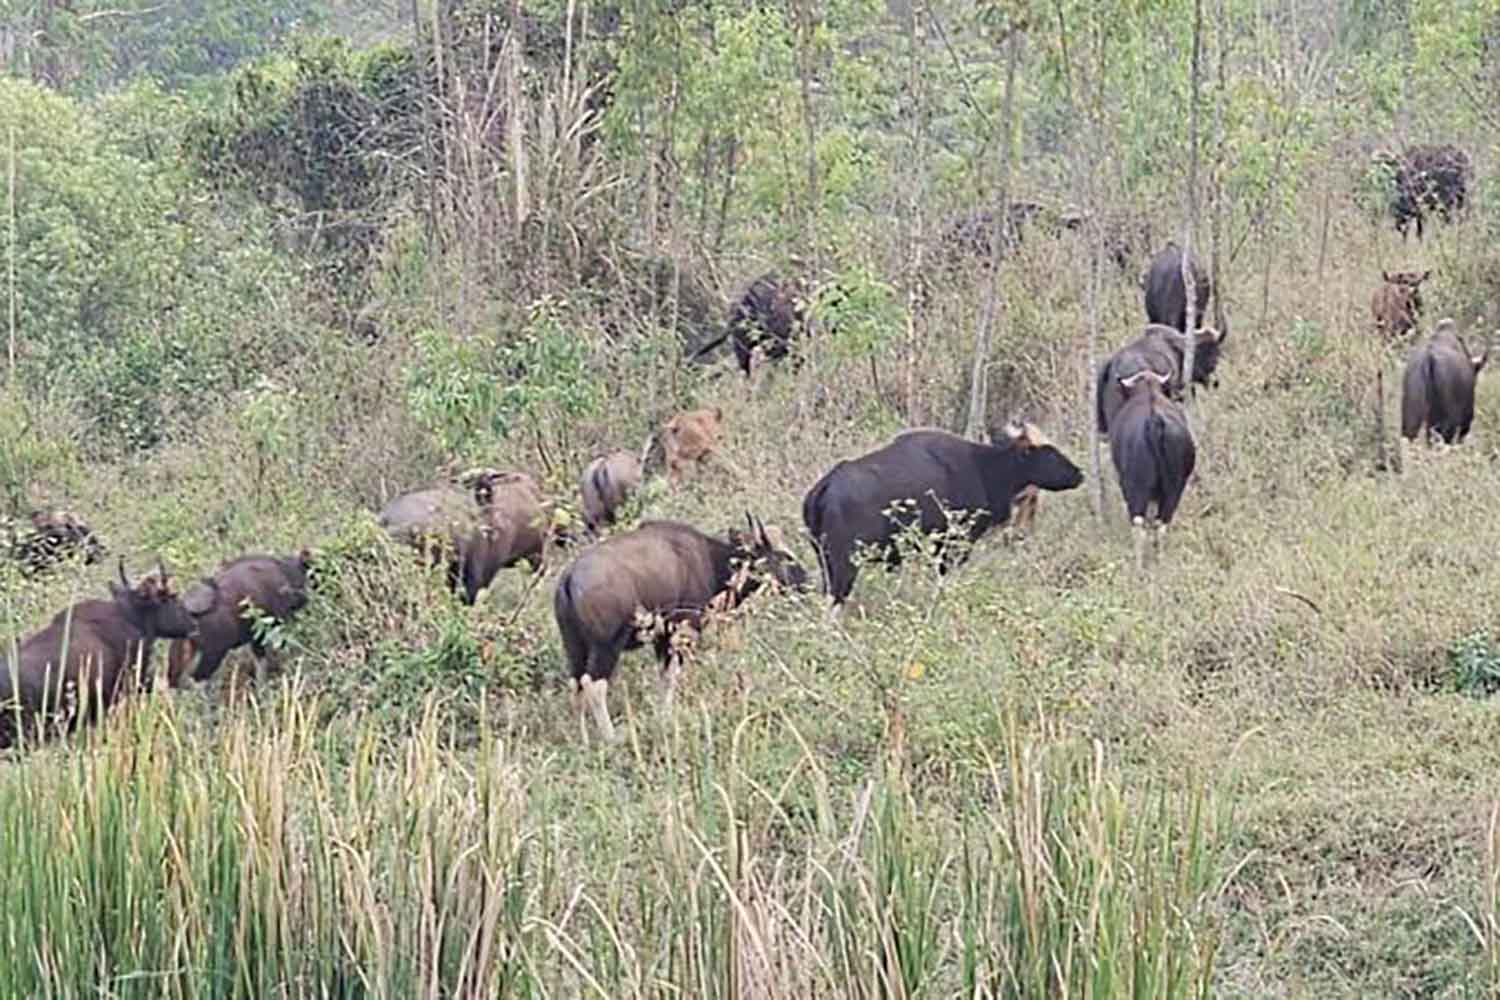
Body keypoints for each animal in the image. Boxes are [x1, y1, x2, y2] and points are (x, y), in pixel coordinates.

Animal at [555, 515, 810, 743]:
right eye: (786, 556)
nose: (806, 582)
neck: (710, 559)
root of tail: (569, 578)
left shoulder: (661, 639)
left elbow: (663, 677)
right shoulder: (680, 631)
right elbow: (671, 676)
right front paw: (666, 717)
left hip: (574, 647)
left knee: (576, 684)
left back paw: (583, 739)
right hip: (606, 647)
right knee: (594, 685)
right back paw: (610, 737)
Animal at [804, 425, 1086, 605]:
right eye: (1049, 453)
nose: (1078, 473)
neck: (983, 466)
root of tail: (825, 487)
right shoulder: (953, 546)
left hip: (824, 559)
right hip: (845, 564)